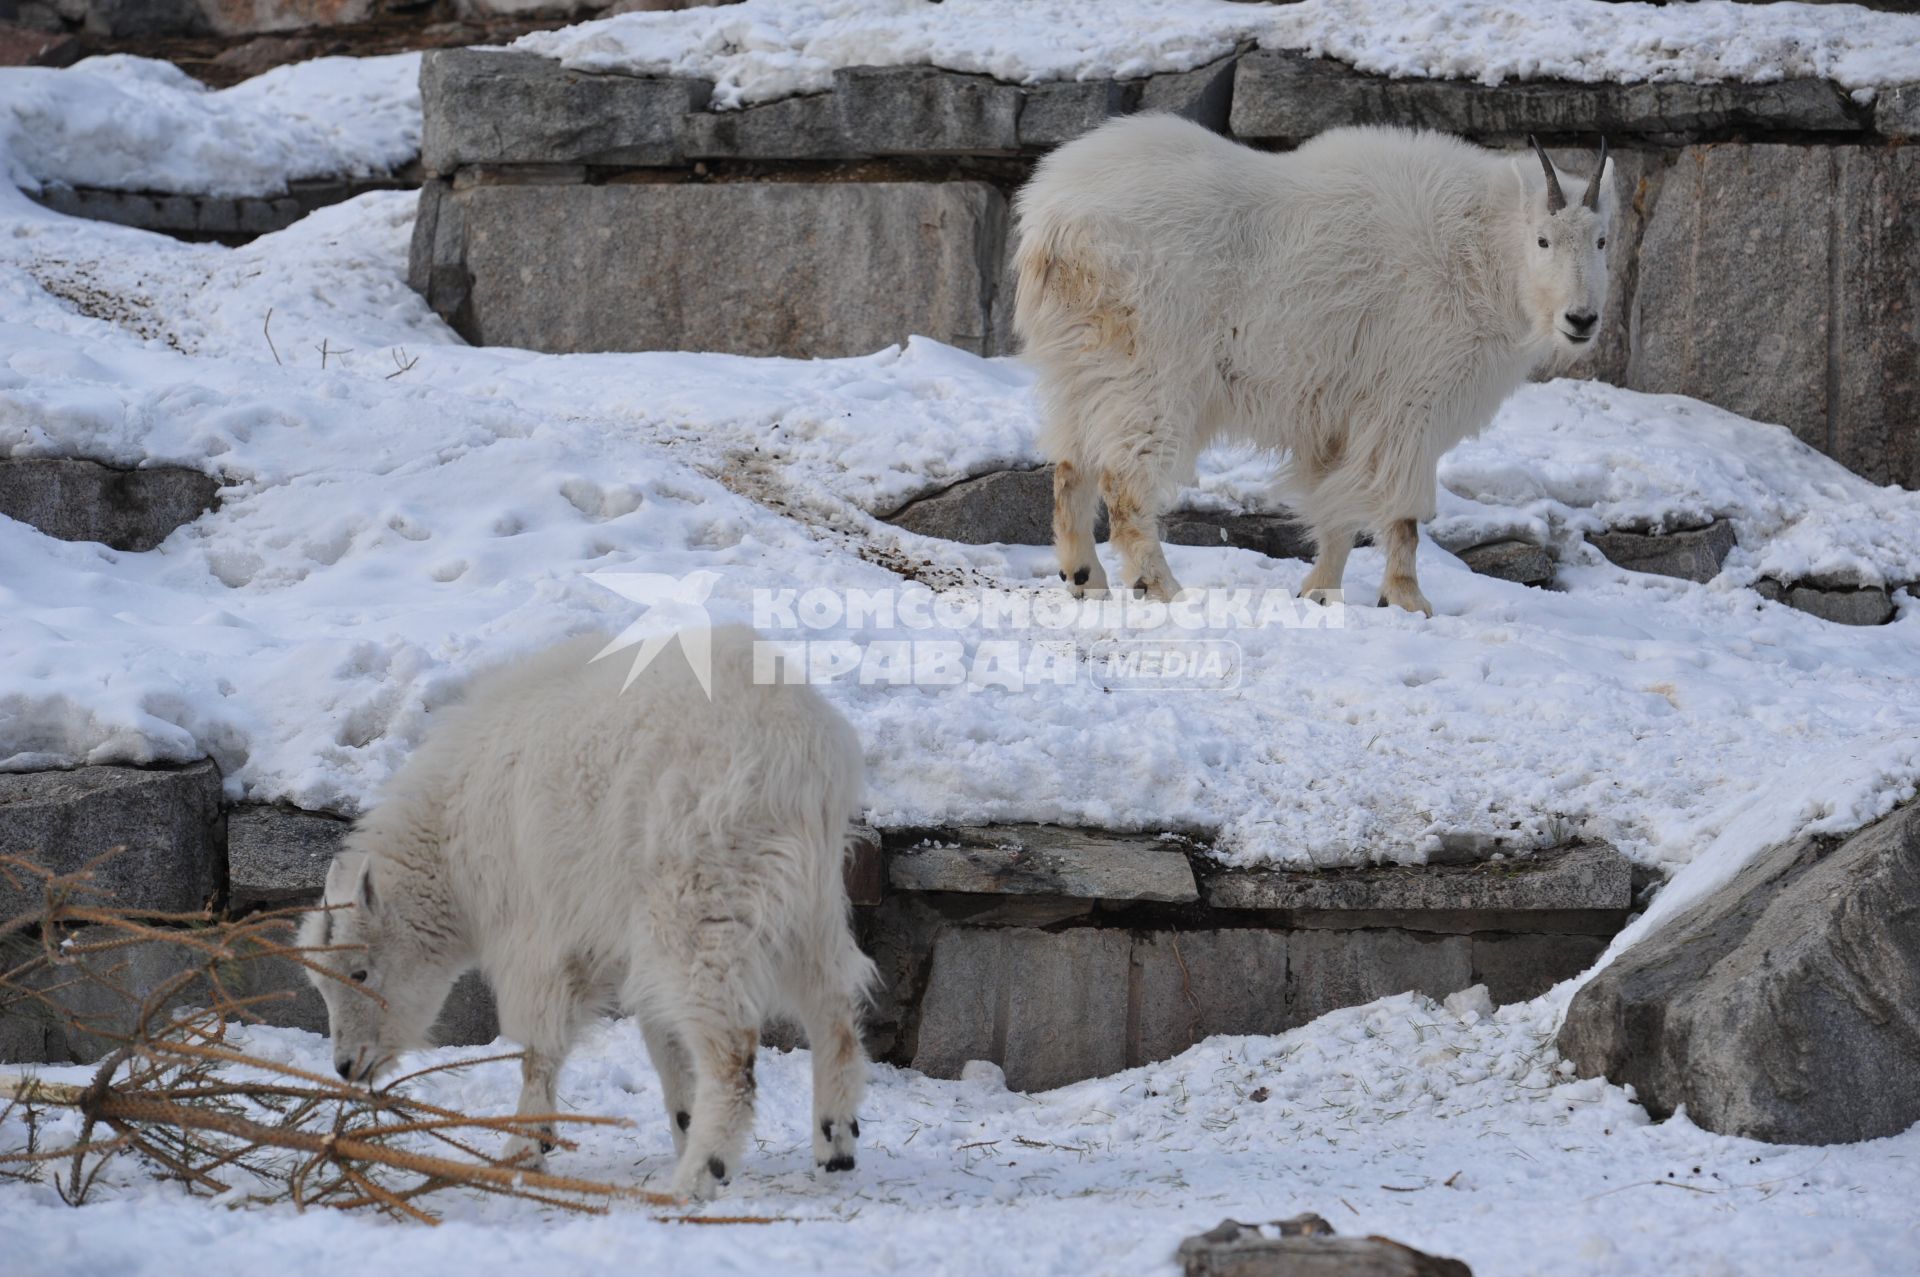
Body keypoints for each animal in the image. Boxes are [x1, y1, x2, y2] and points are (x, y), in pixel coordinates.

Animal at [295, 633, 875, 1198]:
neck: (452, 842)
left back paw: (699, 1176)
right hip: (809, 901)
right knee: (832, 1009)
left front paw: (525, 1150)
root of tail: (798, 754)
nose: (347, 1065)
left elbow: (538, 1047)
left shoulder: (538, 936)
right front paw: (678, 1122)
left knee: (732, 1048)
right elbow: (662, 1040)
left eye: (360, 972)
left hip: (701, 898)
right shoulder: (617, 940)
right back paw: (835, 1145)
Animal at [1013, 118, 1612, 614]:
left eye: (1603, 240)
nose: (1581, 319)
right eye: (1543, 239)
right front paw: (1408, 600)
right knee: (1126, 478)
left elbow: (1336, 510)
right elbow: (1403, 513)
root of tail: (1054, 223)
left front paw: (1320, 592)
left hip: (1082, 360)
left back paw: (1084, 578)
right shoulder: (1409, 400)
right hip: (1152, 366)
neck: (1482, 251)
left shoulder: (1337, 416)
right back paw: (1160, 586)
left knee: (1071, 464)